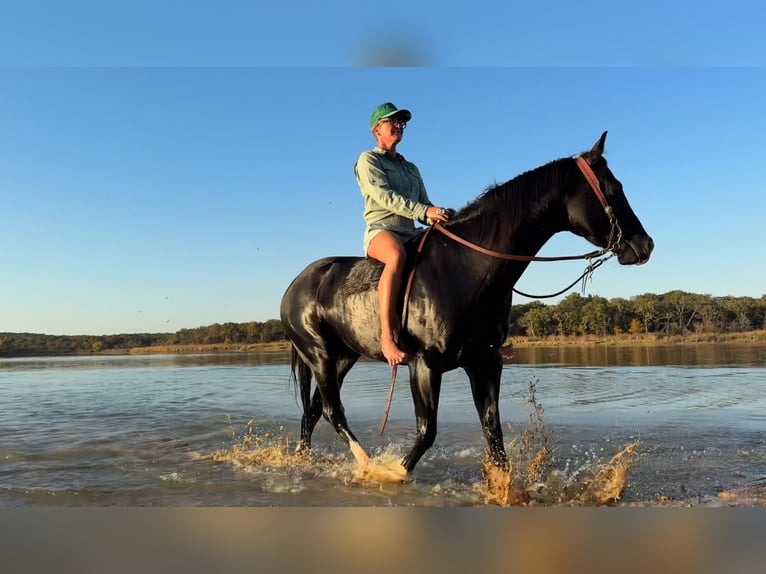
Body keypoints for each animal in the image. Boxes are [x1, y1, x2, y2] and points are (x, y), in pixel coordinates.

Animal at [279, 132, 654, 481]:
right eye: (614, 187)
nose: (644, 245)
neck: (467, 267)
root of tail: (296, 283)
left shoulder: (485, 363)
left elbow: (494, 434)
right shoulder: (424, 365)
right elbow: (426, 433)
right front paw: (394, 472)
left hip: (343, 357)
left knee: (314, 412)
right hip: (320, 357)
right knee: (332, 411)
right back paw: (368, 465)